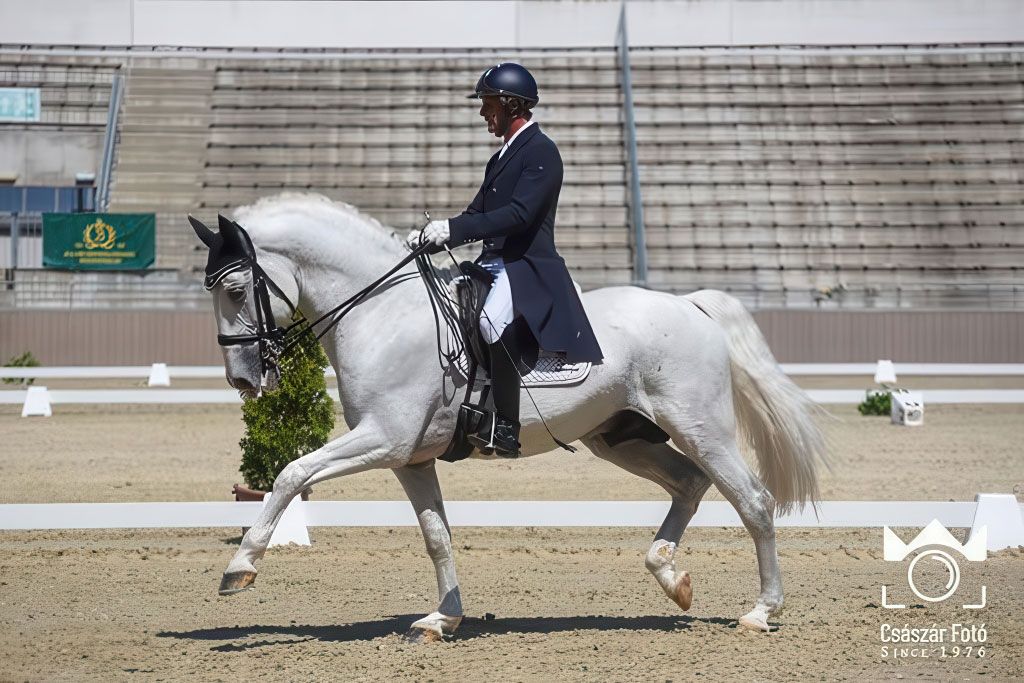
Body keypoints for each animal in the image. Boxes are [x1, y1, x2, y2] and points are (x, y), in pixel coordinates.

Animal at [192, 193, 827, 643]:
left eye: (233, 289)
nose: (243, 380)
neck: (382, 313)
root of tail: (690, 303)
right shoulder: (408, 457)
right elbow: (437, 537)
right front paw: (441, 620)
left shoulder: (381, 439)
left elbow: (291, 473)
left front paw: (239, 567)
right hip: (620, 438)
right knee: (690, 484)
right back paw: (673, 580)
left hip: (700, 427)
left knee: (754, 501)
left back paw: (760, 611)